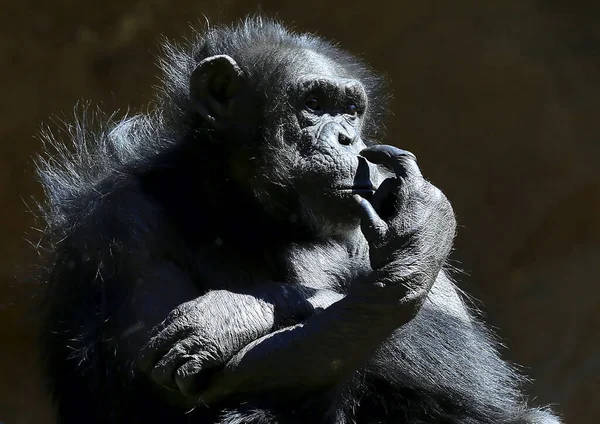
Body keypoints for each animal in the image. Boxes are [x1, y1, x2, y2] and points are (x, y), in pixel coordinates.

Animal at [34, 16, 564, 424]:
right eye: (313, 105)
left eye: (350, 110)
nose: (348, 139)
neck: (244, 210)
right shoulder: (120, 226)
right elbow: (171, 391)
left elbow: (477, 370)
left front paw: (235, 314)